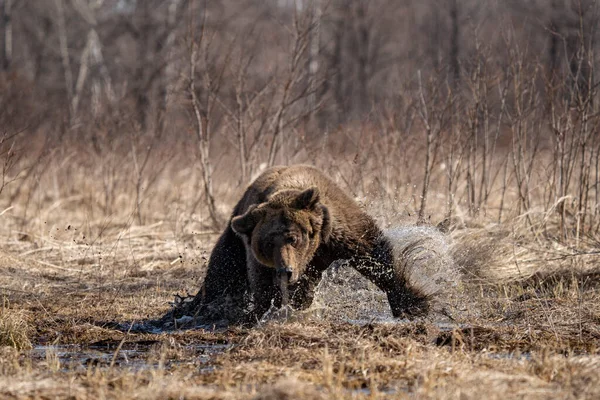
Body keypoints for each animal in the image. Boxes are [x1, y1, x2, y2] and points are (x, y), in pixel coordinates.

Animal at [185, 166, 448, 324]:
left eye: (293, 238)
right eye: (268, 244)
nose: (286, 270)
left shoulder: (339, 231)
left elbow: (376, 256)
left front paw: (414, 305)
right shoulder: (257, 254)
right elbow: (261, 283)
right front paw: (269, 310)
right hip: (237, 230)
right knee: (224, 270)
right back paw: (200, 306)